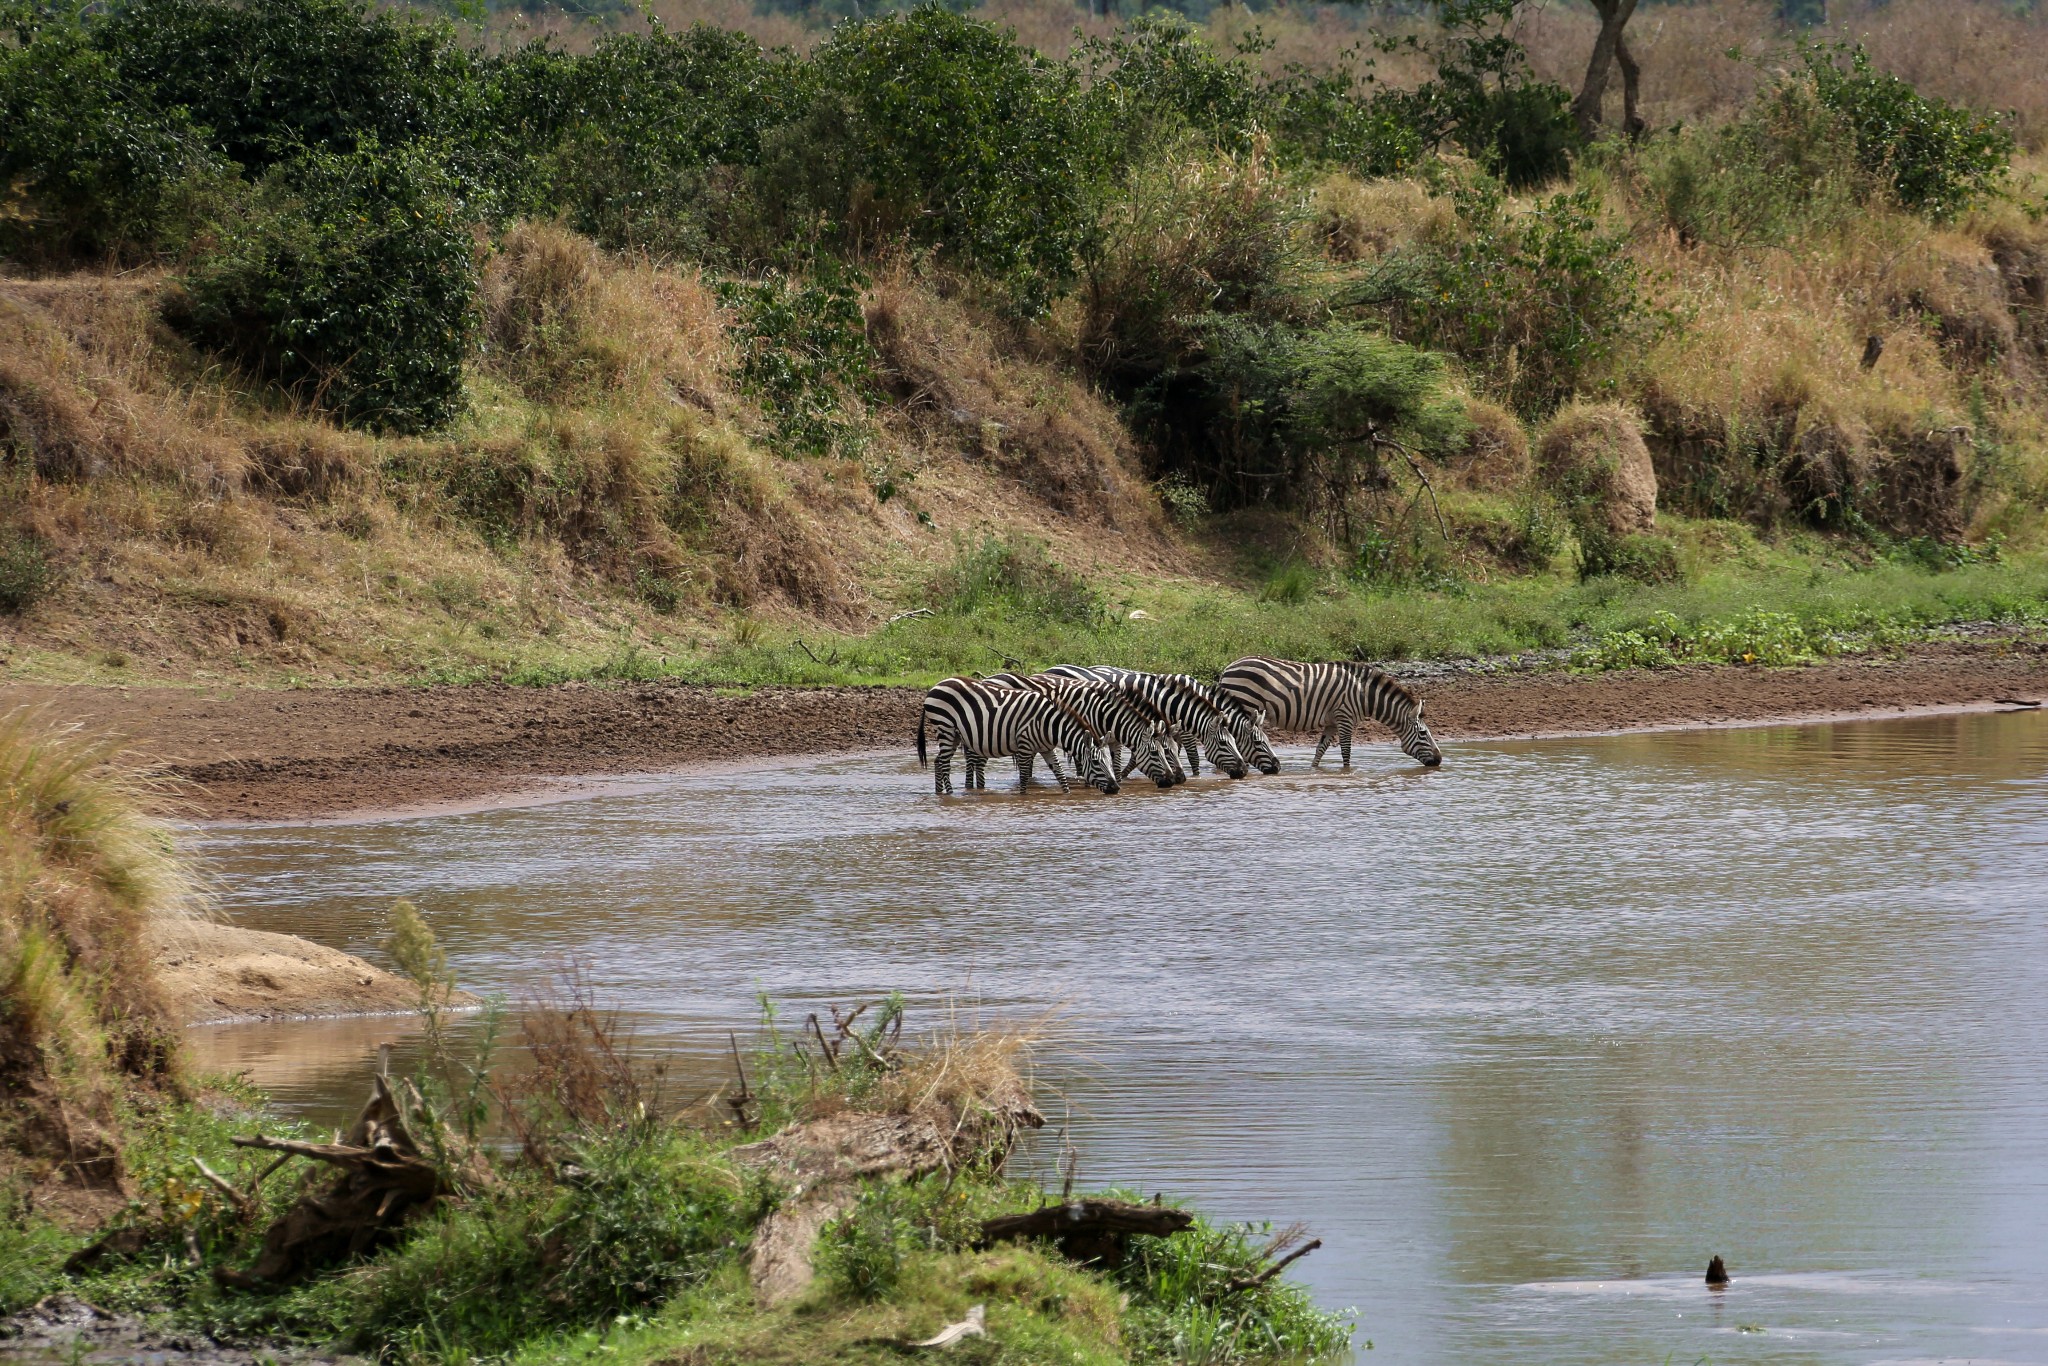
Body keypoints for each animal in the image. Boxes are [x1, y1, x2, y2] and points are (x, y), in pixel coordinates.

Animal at [917, 679, 1122, 794]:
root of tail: (936, 685)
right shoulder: (1024, 746)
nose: (1116, 789)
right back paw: (951, 794)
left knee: (938, 762)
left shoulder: (1046, 749)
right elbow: (1024, 779)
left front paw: (1068, 795)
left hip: (955, 735)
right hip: (945, 727)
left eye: (1108, 762)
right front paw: (1024, 800)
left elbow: (1060, 775)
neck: (1049, 724)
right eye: (1096, 763)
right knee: (944, 764)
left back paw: (940, 793)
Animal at [974, 675, 1187, 790]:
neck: (1104, 714)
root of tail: (987, 678)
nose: (1175, 781)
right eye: (1158, 752)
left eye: (1176, 750)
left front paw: (1115, 781)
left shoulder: (1112, 740)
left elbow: (1115, 765)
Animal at [1212, 659, 1441, 770]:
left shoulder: (1332, 722)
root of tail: (1228, 667)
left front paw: (1314, 772)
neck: (1363, 695)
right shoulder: (1345, 717)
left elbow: (1320, 750)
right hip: (1244, 704)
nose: (1439, 760)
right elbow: (1346, 752)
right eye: (1423, 734)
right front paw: (1347, 774)